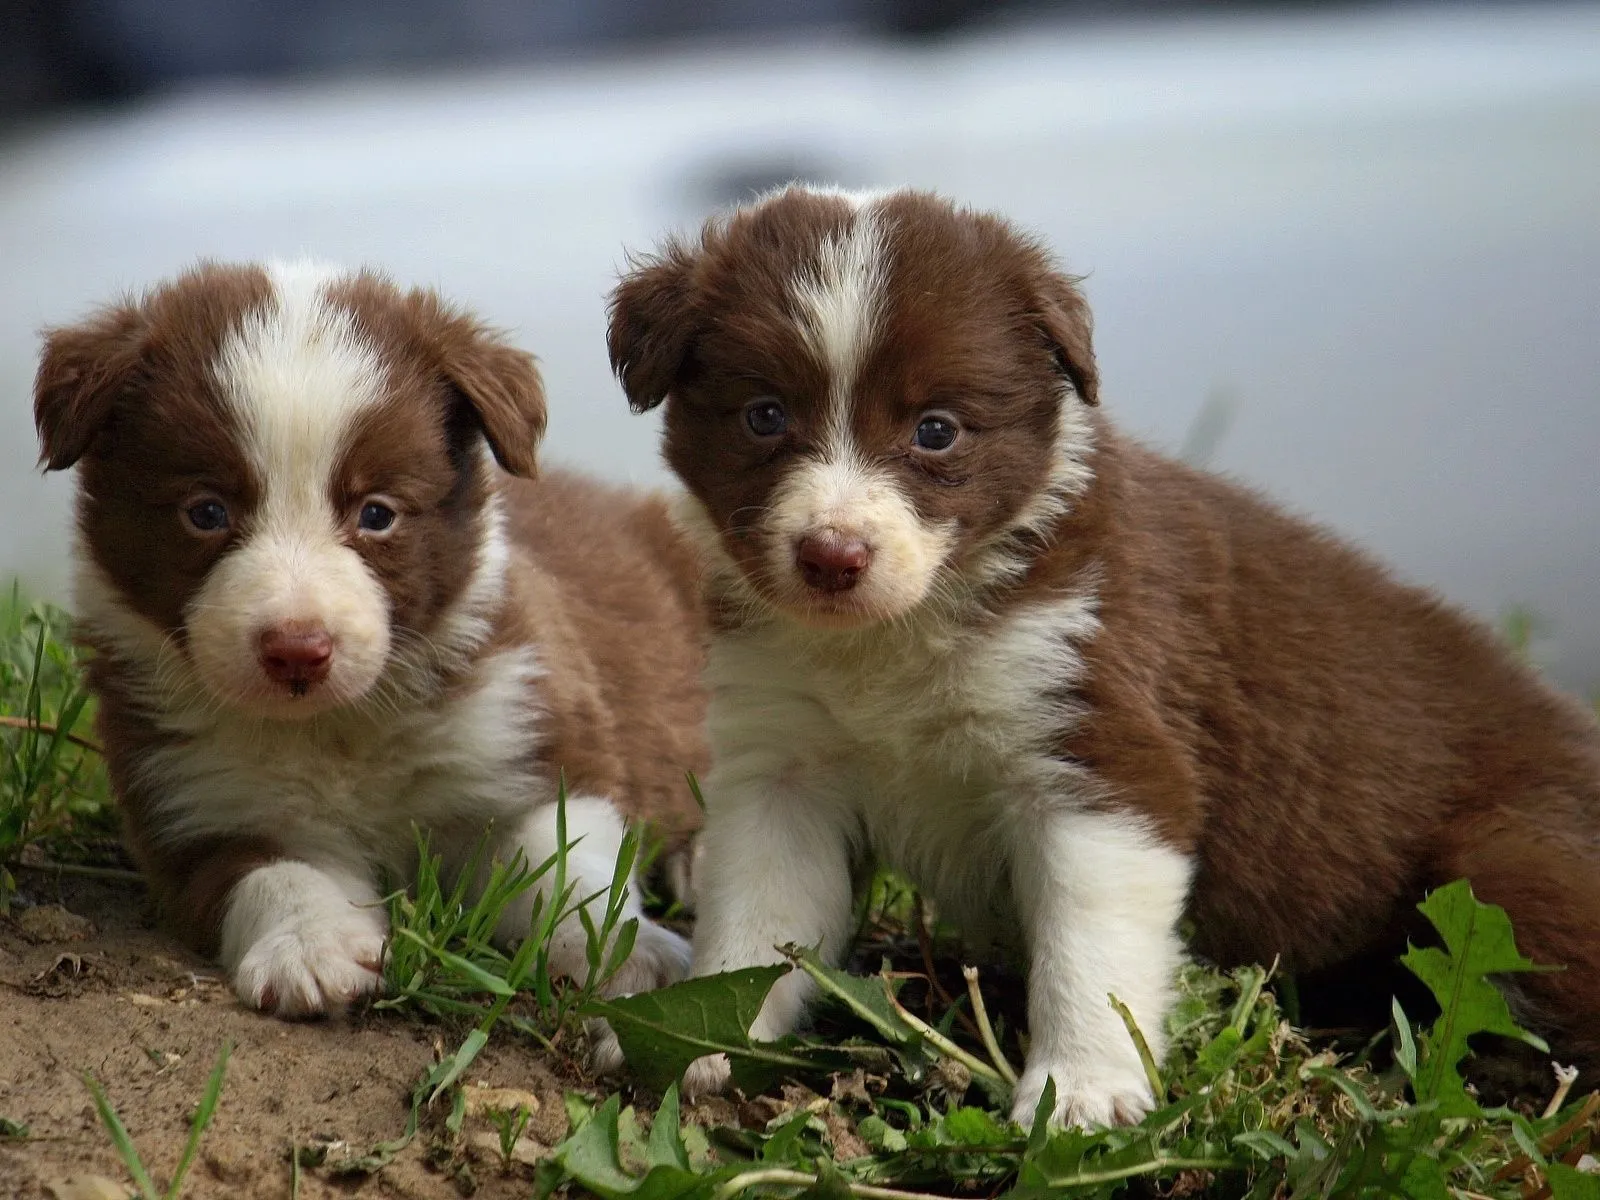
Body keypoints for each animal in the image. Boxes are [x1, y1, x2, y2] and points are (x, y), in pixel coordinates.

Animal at [29, 260, 707, 1017]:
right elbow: (271, 871)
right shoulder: (193, 802)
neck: (343, 725)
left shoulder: (532, 726)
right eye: (206, 512)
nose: (297, 649)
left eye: (377, 514)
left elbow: (563, 855)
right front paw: (311, 947)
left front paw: (622, 950)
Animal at [608, 185, 1600, 1126]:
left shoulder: (1101, 757)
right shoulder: (784, 764)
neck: (903, 632)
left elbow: (1088, 948)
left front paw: (1081, 1089)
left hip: (1507, 863)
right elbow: (757, 915)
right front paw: (699, 1040)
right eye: (764, 416)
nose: (831, 557)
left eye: (937, 430)